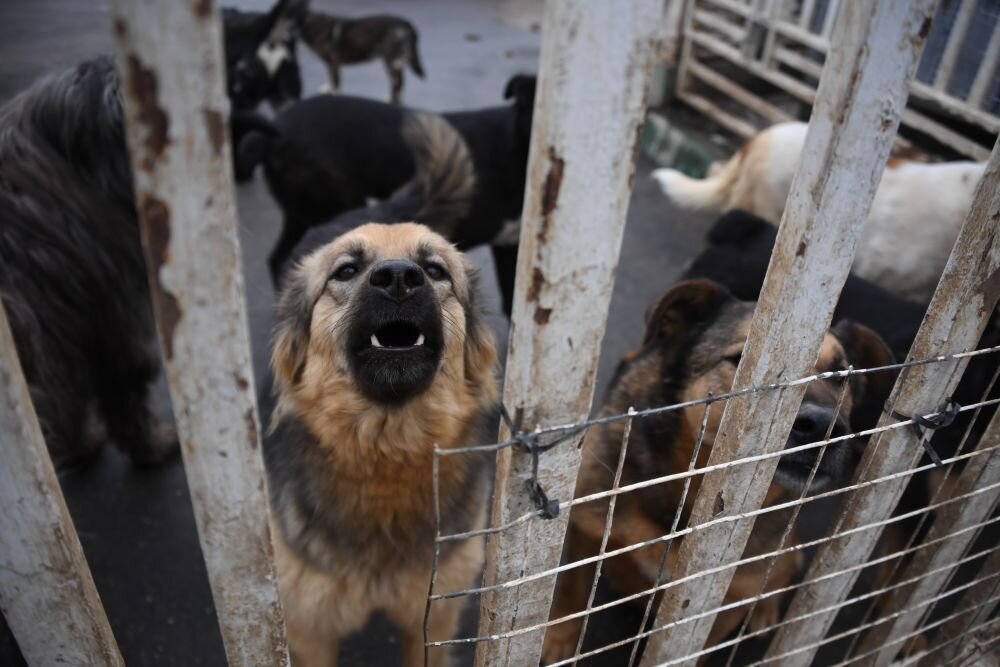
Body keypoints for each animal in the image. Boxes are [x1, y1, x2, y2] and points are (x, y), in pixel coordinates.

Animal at [264, 224, 498, 667]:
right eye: (346, 270)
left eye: (435, 270)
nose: (399, 279)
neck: (387, 453)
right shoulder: (311, 628)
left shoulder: (430, 618)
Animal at [544, 280, 896, 664]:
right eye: (743, 362)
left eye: (842, 376)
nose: (823, 427)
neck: (691, 502)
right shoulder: (586, 526)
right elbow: (571, 592)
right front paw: (558, 642)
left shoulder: (725, 600)